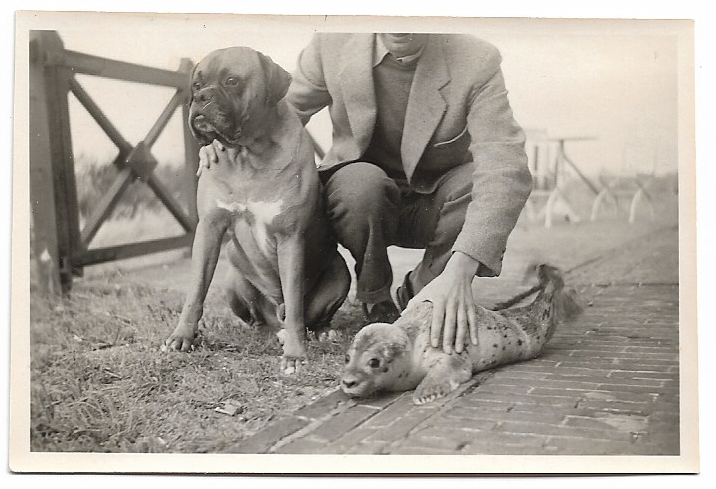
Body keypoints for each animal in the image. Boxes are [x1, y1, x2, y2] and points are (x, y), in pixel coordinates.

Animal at [165, 47, 350, 372]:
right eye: (196, 85)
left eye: (231, 80)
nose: (200, 98)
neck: (247, 154)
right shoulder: (209, 229)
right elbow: (196, 290)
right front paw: (182, 337)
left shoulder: (290, 238)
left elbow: (294, 301)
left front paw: (295, 355)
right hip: (232, 273)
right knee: (258, 321)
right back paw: (266, 332)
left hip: (341, 273)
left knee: (308, 316)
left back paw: (322, 332)